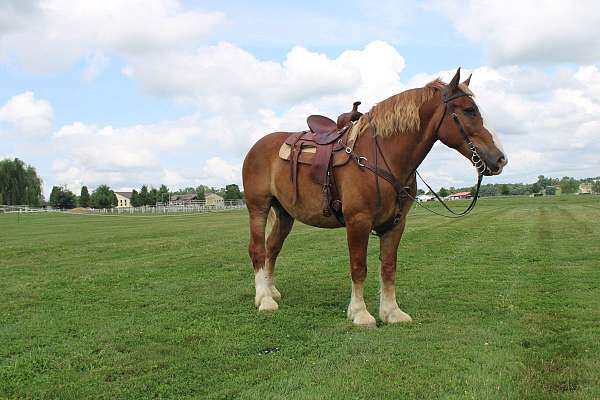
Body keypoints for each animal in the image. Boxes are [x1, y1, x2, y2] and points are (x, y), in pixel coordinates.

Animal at [243, 68, 506, 324]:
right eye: (469, 110)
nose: (500, 158)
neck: (382, 156)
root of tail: (257, 146)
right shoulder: (358, 221)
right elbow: (359, 267)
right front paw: (360, 313)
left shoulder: (395, 224)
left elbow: (388, 268)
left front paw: (392, 312)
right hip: (258, 208)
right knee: (258, 250)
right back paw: (264, 299)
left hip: (285, 213)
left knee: (273, 248)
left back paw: (271, 291)